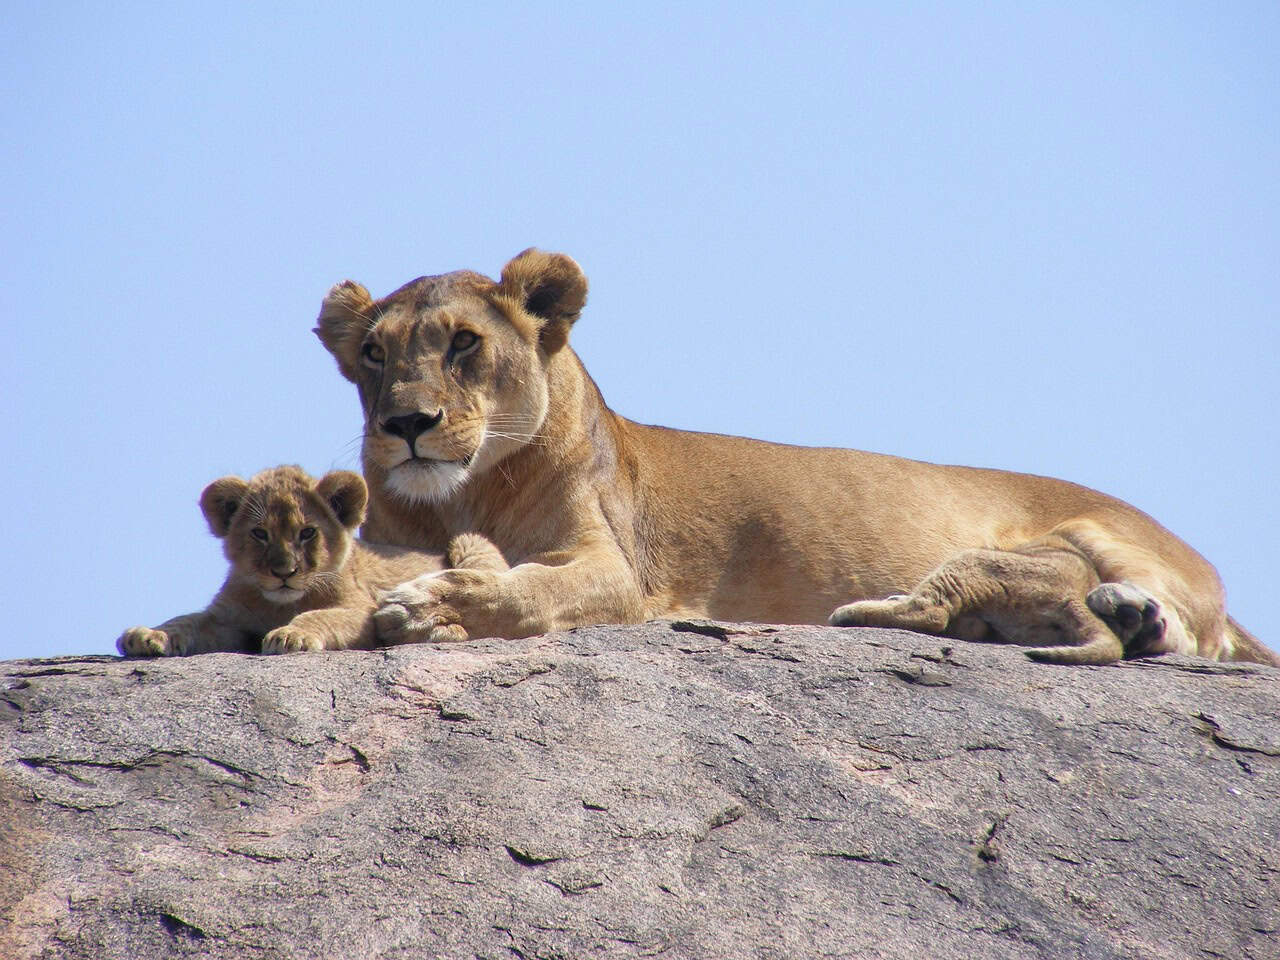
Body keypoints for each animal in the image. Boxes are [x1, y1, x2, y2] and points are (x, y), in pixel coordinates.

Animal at [117, 466, 507, 657]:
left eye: (307, 533)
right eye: (260, 533)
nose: (284, 572)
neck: (279, 603)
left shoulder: (363, 611)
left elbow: (320, 615)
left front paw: (292, 635)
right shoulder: (229, 620)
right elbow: (186, 620)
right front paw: (147, 635)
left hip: (468, 542)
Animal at [313, 249, 1276, 667]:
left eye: (464, 342)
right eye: (376, 354)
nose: (406, 422)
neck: (462, 497)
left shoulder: (616, 570)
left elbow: (530, 592)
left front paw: (436, 605)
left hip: (1109, 535)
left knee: (1196, 627)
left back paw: (1138, 617)